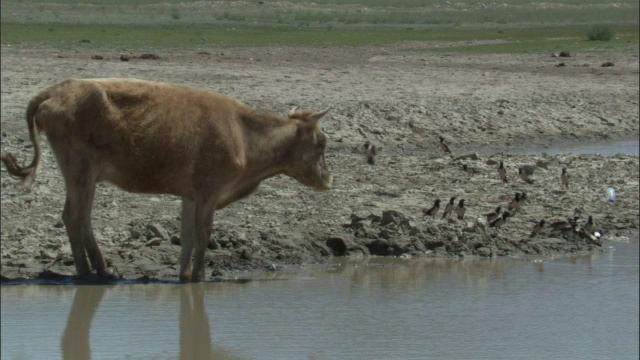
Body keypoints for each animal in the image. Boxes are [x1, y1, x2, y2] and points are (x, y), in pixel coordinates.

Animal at [2, 78, 336, 282]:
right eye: (321, 142)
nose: (328, 178)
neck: (244, 134)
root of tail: (56, 89)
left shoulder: (190, 193)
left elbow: (187, 234)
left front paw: (185, 276)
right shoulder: (209, 189)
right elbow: (203, 232)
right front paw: (200, 276)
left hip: (85, 174)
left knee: (79, 217)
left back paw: (99, 269)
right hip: (80, 170)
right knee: (75, 216)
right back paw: (91, 271)